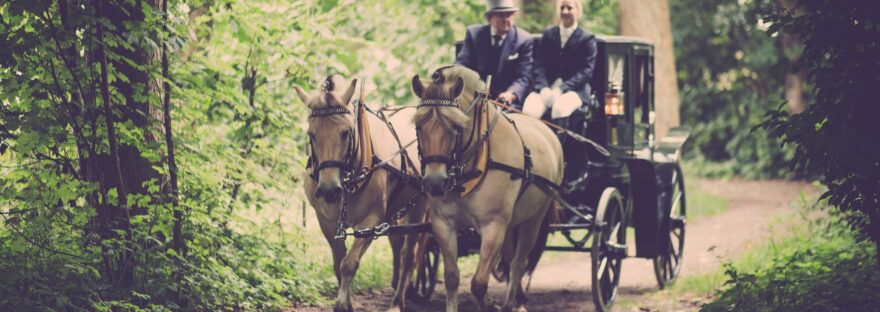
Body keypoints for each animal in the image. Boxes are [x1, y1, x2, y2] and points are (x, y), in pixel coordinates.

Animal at [296, 76, 426, 312]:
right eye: (311, 134)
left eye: (346, 132)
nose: (329, 189)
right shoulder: (326, 221)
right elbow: (338, 263)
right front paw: (346, 301)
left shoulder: (371, 220)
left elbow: (349, 263)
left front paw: (342, 304)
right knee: (397, 243)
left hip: (420, 205)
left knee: (408, 255)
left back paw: (397, 301)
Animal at [410, 64, 564, 310]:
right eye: (418, 126)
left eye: (456, 126)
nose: (434, 182)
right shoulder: (443, 223)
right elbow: (452, 277)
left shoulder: (493, 226)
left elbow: (479, 283)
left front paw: (491, 304)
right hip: (512, 222)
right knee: (511, 258)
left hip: (534, 218)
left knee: (519, 262)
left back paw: (512, 303)